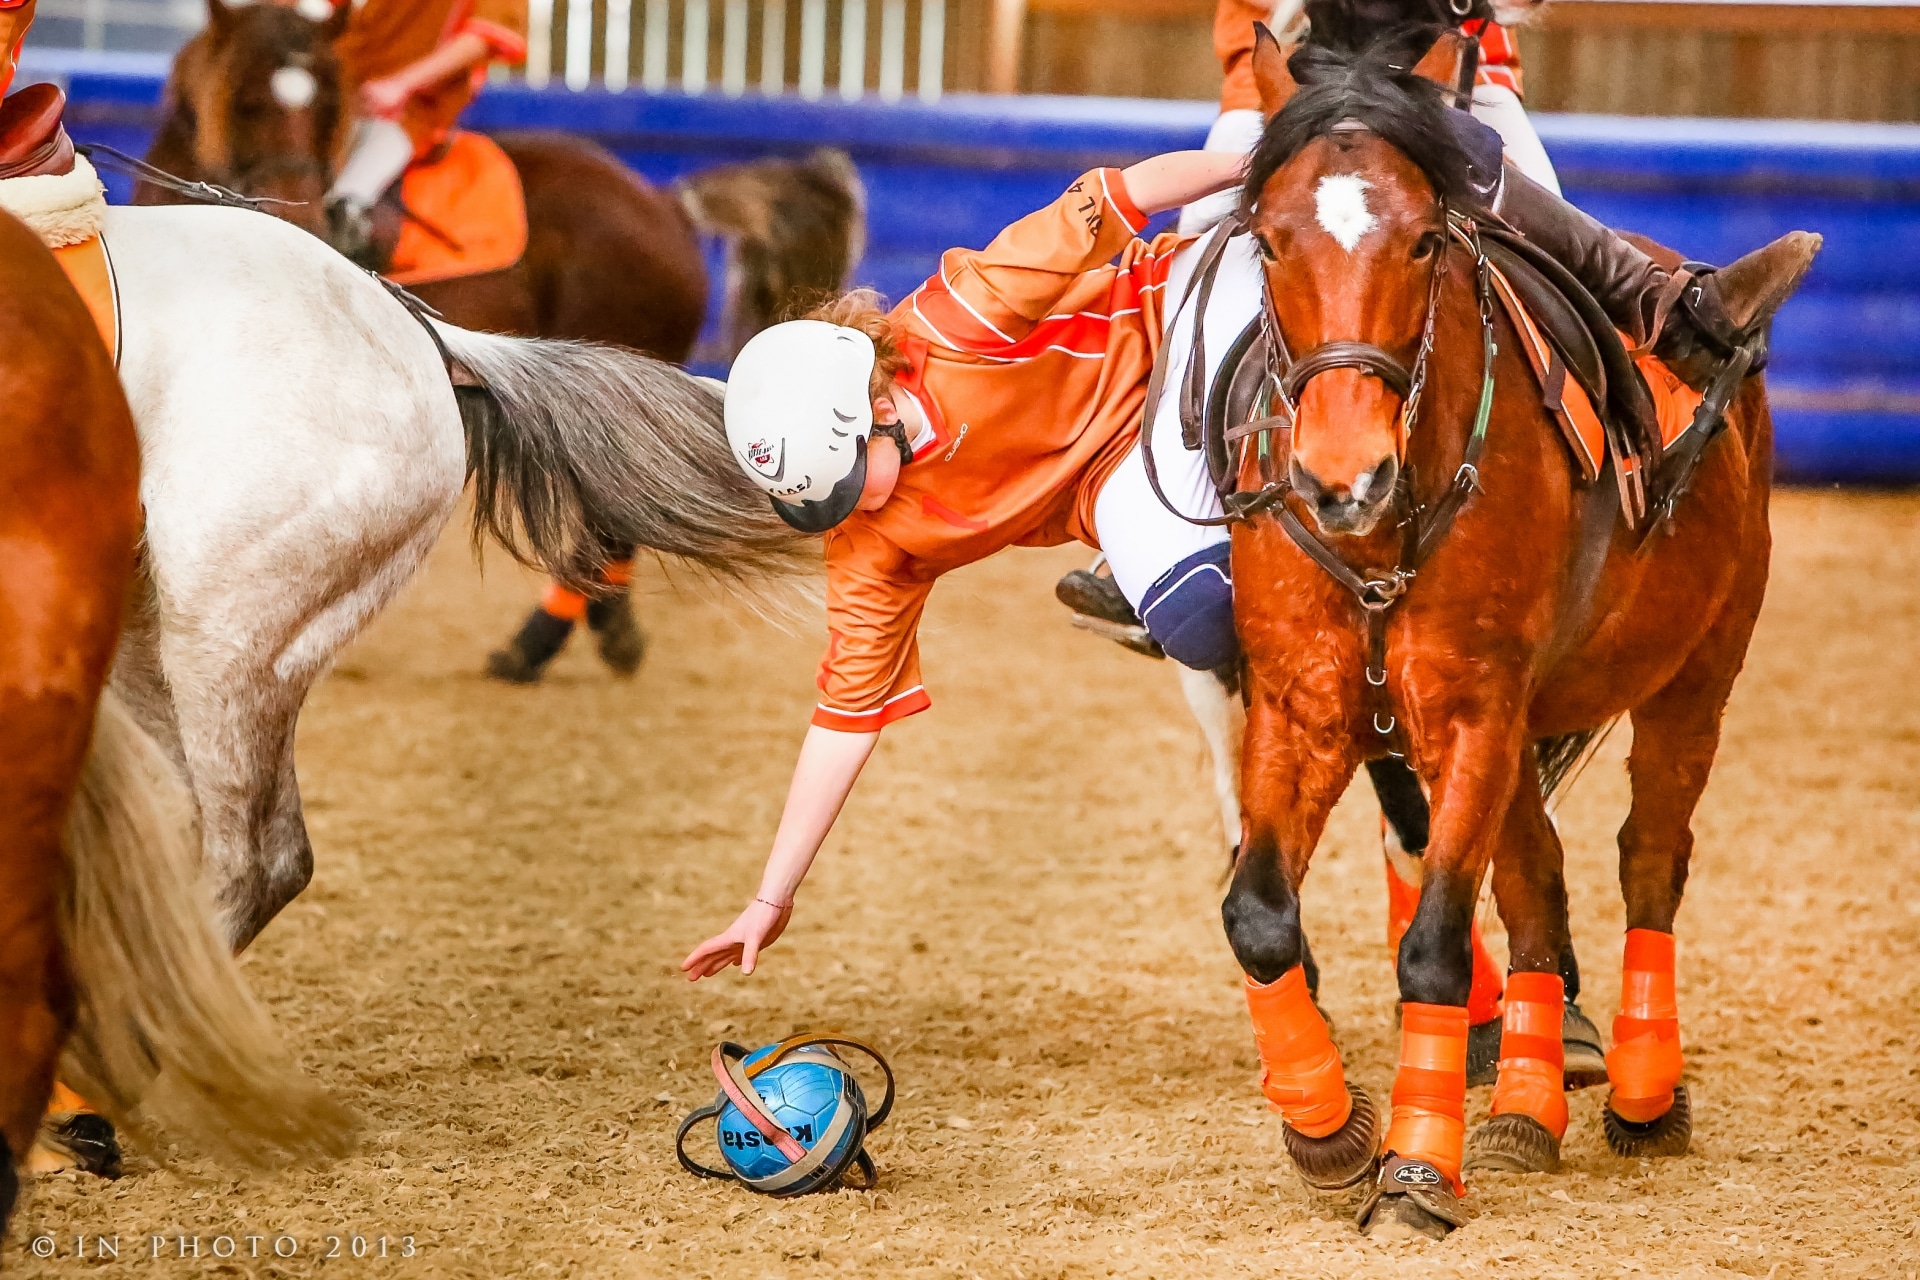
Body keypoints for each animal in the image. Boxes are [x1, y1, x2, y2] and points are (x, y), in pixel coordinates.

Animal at [1209, 29, 1815, 1237]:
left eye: (1422, 237)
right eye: (1270, 236)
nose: (1342, 477)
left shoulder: (1475, 711)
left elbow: (1436, 947)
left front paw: (1413, 1170)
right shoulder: (1305, 707)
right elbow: (1258, 914)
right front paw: (1327, 1128)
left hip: (1697, 675)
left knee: (1651, 857)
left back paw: (1642, 1090)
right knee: (1538, 877)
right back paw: (1530, 1101)